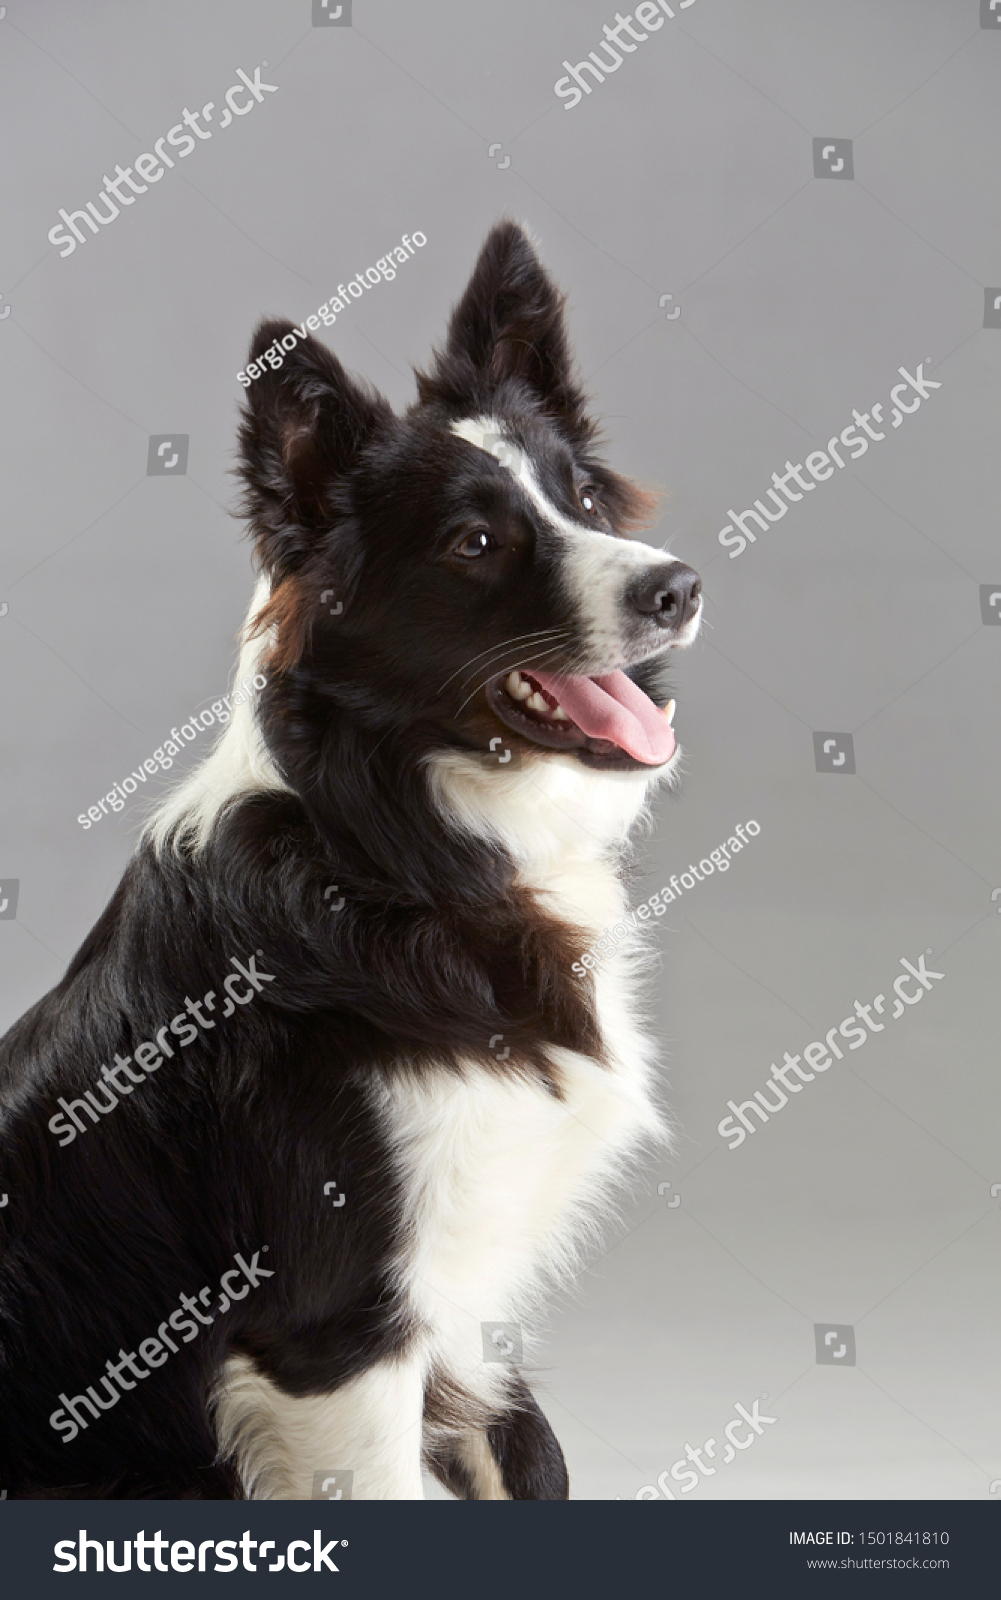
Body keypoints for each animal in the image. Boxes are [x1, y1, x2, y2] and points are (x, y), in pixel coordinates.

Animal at [0, 225, 697, 1497]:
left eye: (581, 498)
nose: (675, 586)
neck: (394, 851)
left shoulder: (466, 1312)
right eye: (475, 542)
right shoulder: (337, 1335)